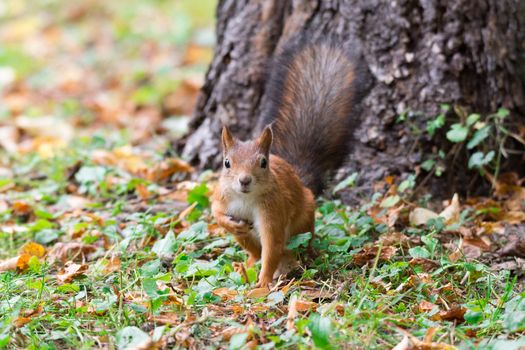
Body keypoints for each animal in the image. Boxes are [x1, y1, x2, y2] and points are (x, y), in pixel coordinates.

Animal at [211, 37, 366, 288]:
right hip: (247, 239)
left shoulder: (272, 211)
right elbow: (215, 212)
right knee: (254, 251)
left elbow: (272, 246)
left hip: (302, 224)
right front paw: (230, 223)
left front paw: (263, 283)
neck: (245, 199)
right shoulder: (222, 196)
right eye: (226, 163)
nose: (244, 180)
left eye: (263, 163)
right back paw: (247, 264)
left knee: (293, 246)